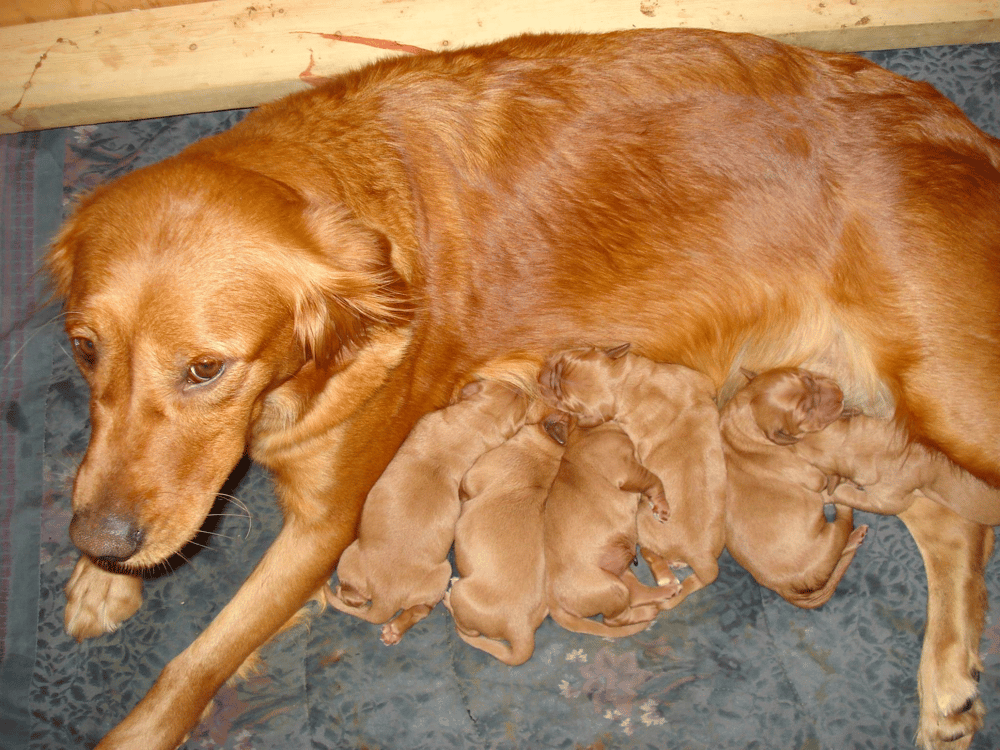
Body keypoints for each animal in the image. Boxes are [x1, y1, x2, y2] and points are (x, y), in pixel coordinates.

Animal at [330, 382, 544, 648]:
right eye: (511, 388)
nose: (524, 389)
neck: (470, 427)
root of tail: (386, 596)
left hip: (361, 556)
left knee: (410, 607)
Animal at [448, 420, 568, 668]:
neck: (543, 456)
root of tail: (520, 628)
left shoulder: (472, 475)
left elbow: (464, 489)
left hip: (462, 595)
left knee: (470, 631)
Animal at [540, 346, 728, 612]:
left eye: (563, 402)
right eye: (563, 361)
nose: (540, 375)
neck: (624, 383)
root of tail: (701, 556)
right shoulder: (700, 380)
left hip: (640, 522)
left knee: (651, 554)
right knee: (697, 578)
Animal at [548, 420, 680, 636]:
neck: (584, 433)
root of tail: (552, 601)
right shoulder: (629, 470)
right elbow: (655, 480)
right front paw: (662, 507)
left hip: (621, 572)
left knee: (637, 595)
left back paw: (666, 591)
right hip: (612, 588)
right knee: (614, 620)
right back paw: (649, 611)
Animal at [720, 370, 868, 612]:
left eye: (807, 377)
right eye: (806, 411)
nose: (840, 393)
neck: (747, 422)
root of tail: (780, 586)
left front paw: (851, 410)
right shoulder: (814, 476)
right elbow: (824, 479)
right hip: (830, 537)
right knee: (843, 527)